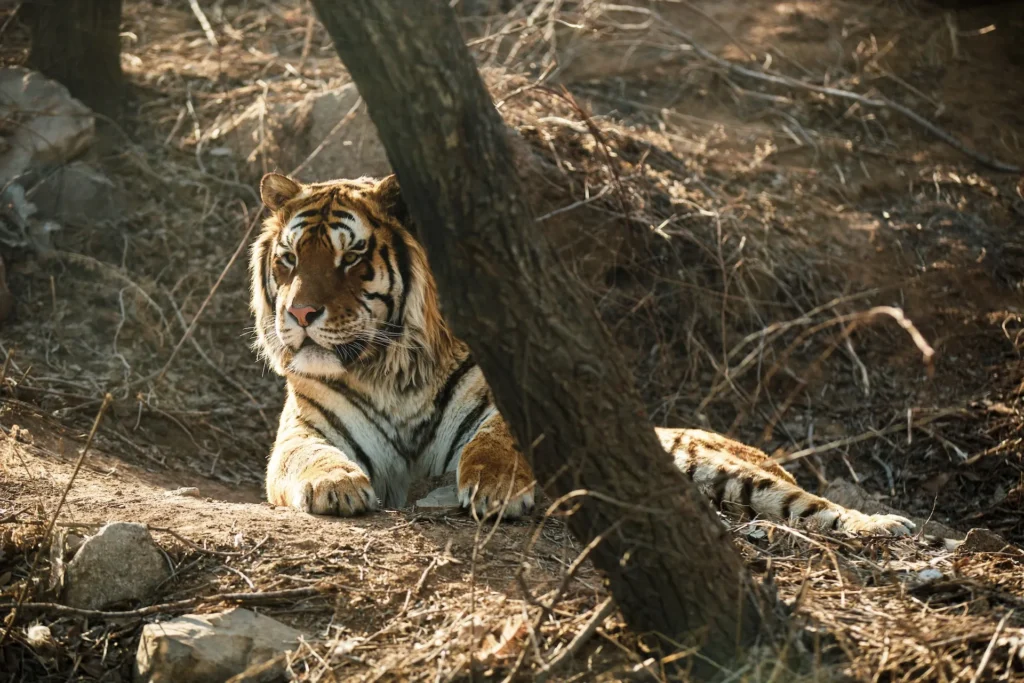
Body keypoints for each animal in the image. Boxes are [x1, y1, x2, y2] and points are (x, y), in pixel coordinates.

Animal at [249, 171, 915, 537]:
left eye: (351, 257)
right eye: (290, 259)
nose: (300, 315)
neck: (389, 368)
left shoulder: (503, 403)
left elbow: (497, 441)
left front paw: (496, 489)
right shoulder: (303, 432)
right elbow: (309, 457)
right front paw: (336, 485)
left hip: (727, 471)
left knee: (811, 505)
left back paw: (886, 527)